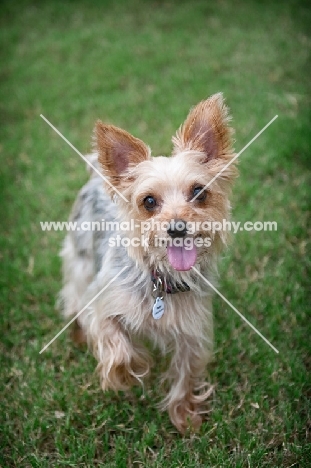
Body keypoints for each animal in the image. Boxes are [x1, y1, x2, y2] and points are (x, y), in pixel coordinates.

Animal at [59, 93, 239, 434]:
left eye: (199, 192)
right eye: (149, 202)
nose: (177, 227)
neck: (160, 277)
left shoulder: (192, 330)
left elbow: (185, 373)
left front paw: (185, 416)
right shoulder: (101, 303)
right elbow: (117, 348)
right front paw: (135, 367)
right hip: (81, 260)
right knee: (73, 295)